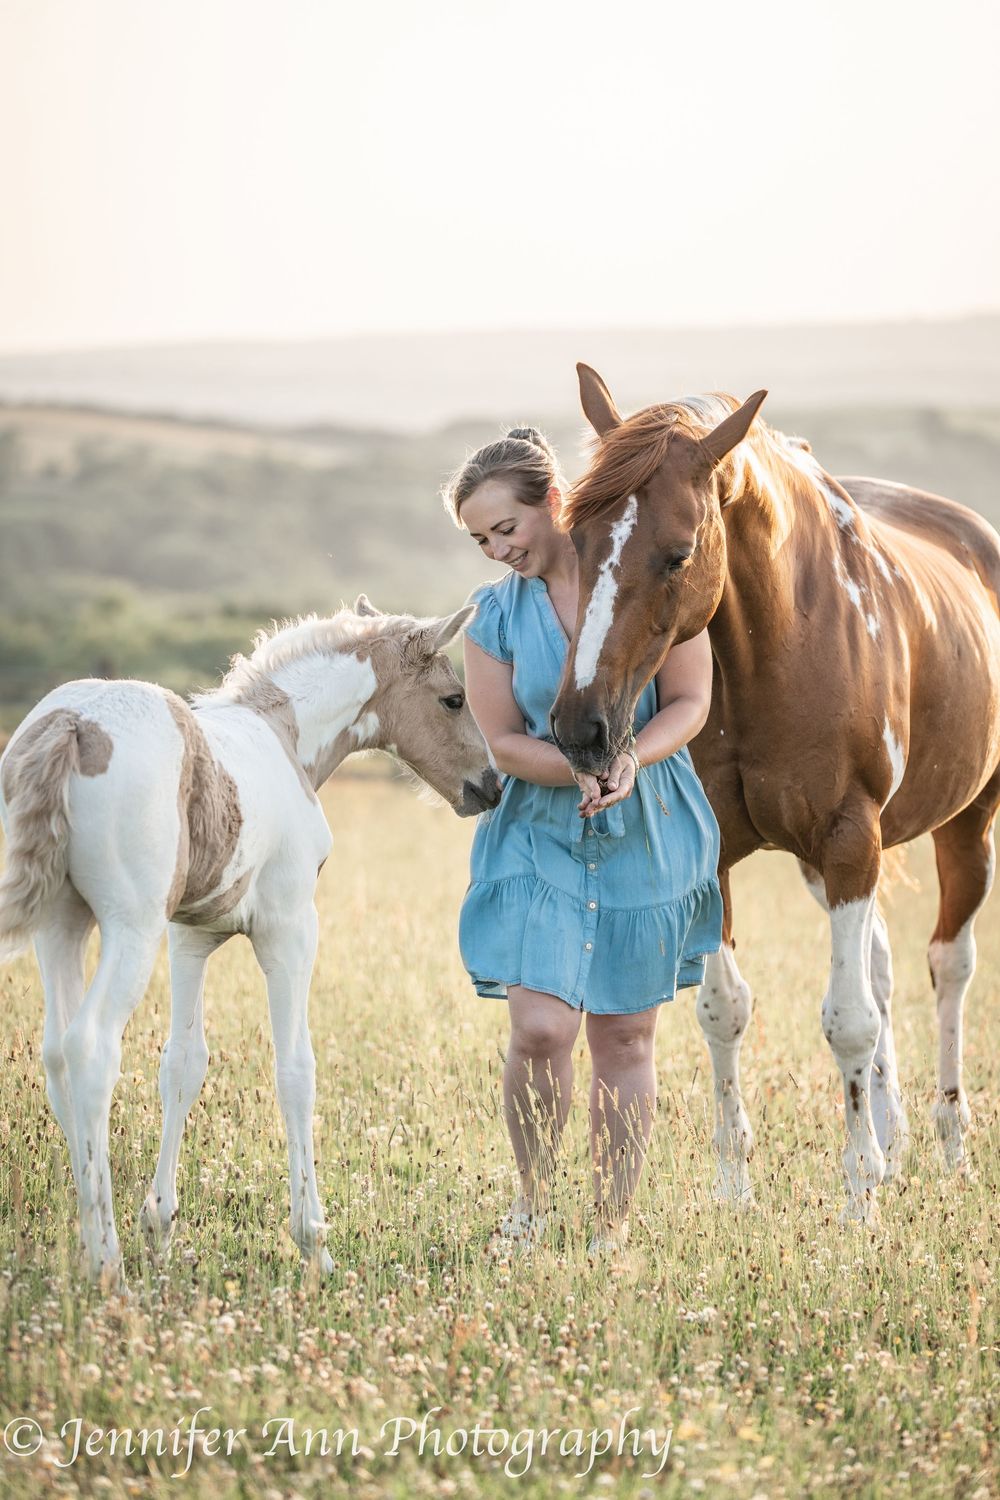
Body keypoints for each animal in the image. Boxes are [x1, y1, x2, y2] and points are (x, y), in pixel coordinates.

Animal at [0, 595, 500, 1283]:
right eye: (453, 699)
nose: (491, 785)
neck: (284, 735)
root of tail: (70, 724)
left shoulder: (190, 938)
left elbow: (182, 1065)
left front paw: (160, 1226)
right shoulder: (290, 929)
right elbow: (297, 1069)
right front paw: (314, 1242)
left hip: (61, 925)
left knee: (55, 1054)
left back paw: (86, 1249)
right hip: (130, 928)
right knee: (90, 1048)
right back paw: (107, 1264)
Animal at [549, 364, 1000, 1222]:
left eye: (676, 555)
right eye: (574, 543)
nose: (581, 727)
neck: (780, 642)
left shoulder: (851, 837)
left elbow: (849, 1021)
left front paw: (859, 1195)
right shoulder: (723, 851)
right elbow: (725, 1009)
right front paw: (736, 1186)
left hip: (966, 823)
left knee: (946, 967)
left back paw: (949, 1146)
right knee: (883, 966)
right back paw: (894, 1139)